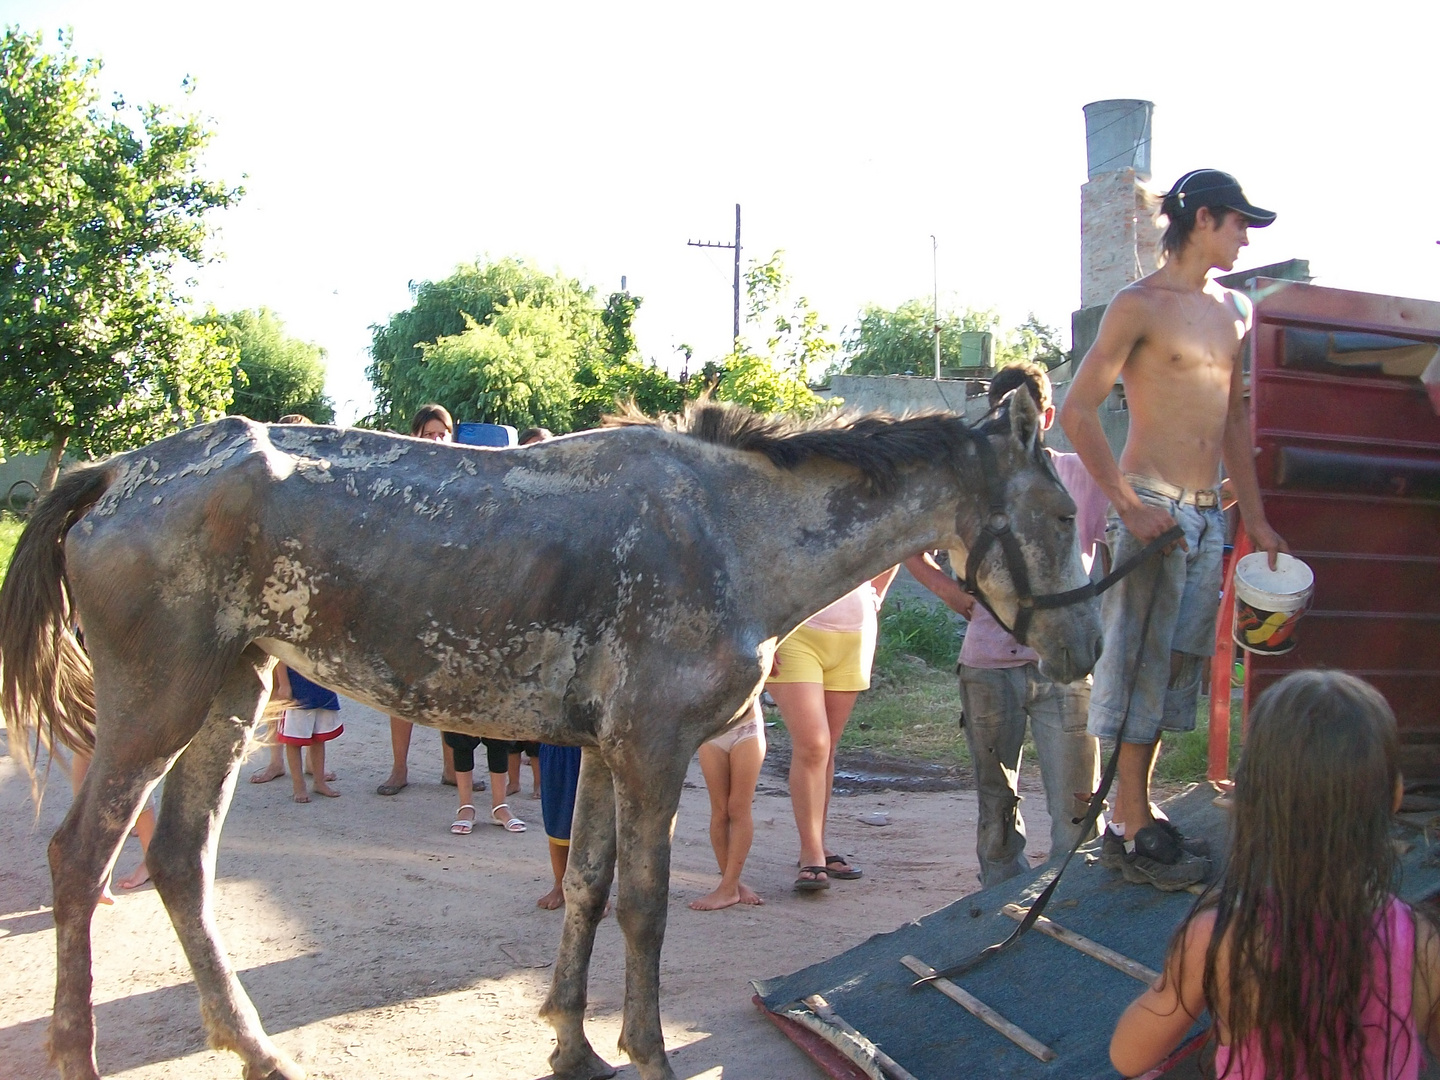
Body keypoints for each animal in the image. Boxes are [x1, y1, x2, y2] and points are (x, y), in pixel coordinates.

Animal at [2, 394, 1100, 1077]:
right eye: (1059, 510)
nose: (1086, 646)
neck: (730, 526)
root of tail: (114, 471)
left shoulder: (608, 756)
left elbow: (589, 890)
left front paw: (573, 1042)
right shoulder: (655, 754)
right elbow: (646, 909)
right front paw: (647, 1052)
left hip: (226, 700)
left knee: (180, 862)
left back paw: (258, 1049)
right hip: (157, 706)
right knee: (80, 860)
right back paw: (77, 1054)